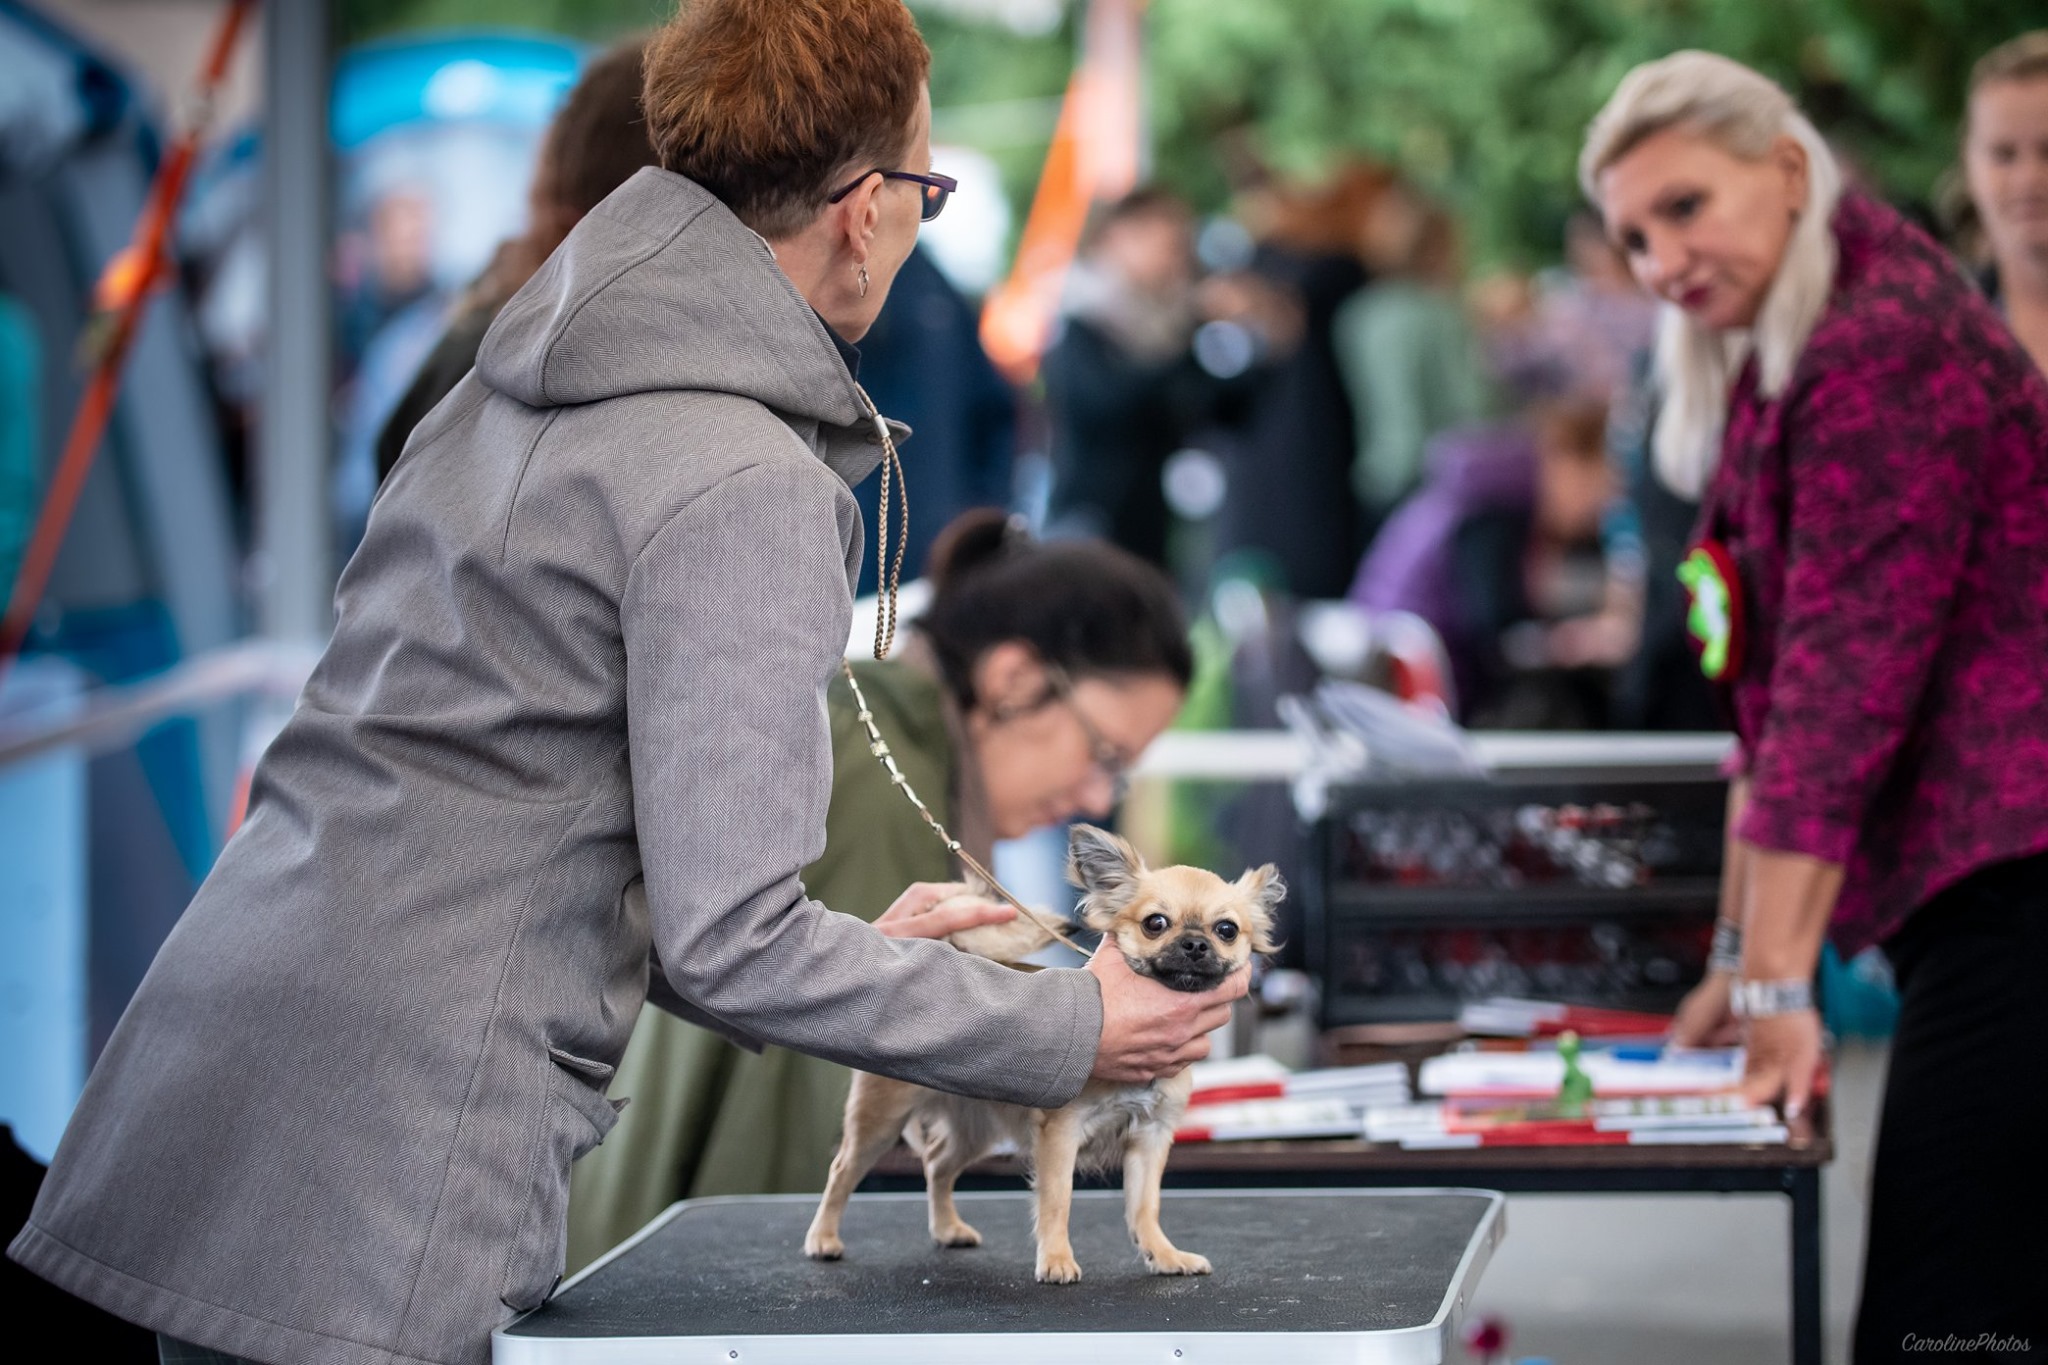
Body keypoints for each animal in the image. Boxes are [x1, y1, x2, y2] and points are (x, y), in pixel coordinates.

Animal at [802, 826, 1269, 1285]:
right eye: (1156, 923)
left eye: (1226, 930)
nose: (1194, 944)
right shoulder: (1061, 1134)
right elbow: (1057, 1200)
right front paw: (1057, 1260)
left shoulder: (1150, 1138)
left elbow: (1145, 1206)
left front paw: (1164, 1255)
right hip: (880, 1122)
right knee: (842, 1171)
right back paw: (824, 1238)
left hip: (976, 1130)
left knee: (937, 1165)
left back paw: (948, 1229)